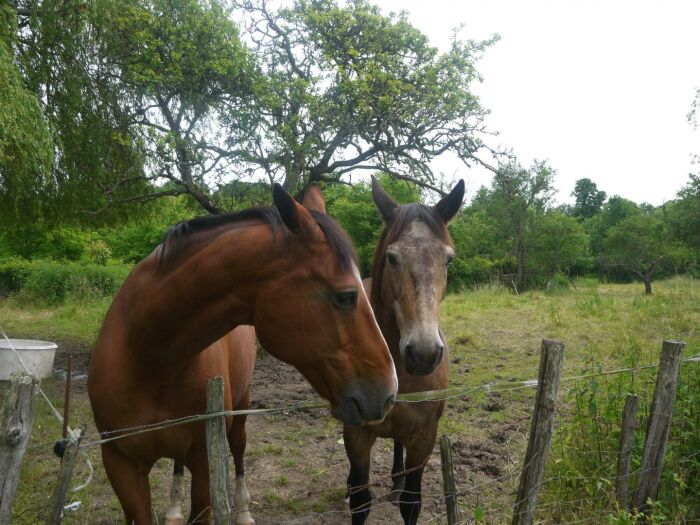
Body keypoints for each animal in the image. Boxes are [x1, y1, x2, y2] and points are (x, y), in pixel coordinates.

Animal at [86, 182, 400, 520]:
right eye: (346, 296)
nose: (389, 393)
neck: (149, 357)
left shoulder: (204, 461)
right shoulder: (120, 464)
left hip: (240, 409)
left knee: (238, 452)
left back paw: (243, 511)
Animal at [344, 177, 464, 524]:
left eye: (448, 259)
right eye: (392, 257)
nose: (423, 353)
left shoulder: (424, 438)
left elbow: (411, 503)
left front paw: (402, 488)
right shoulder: (356, 436)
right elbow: (361, 501)